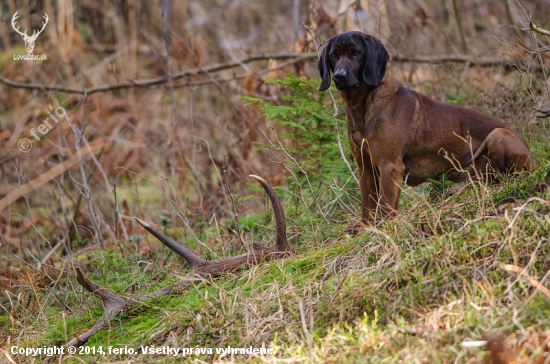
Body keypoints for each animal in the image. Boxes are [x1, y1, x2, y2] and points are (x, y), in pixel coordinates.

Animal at [320, 31, 536, 223]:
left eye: (356, 53)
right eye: (333, 55)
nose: (339, 76)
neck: (363, 106)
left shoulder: (390, 167)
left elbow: (386, 209)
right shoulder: (365, 168)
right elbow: (367, 210)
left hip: (498, 135)